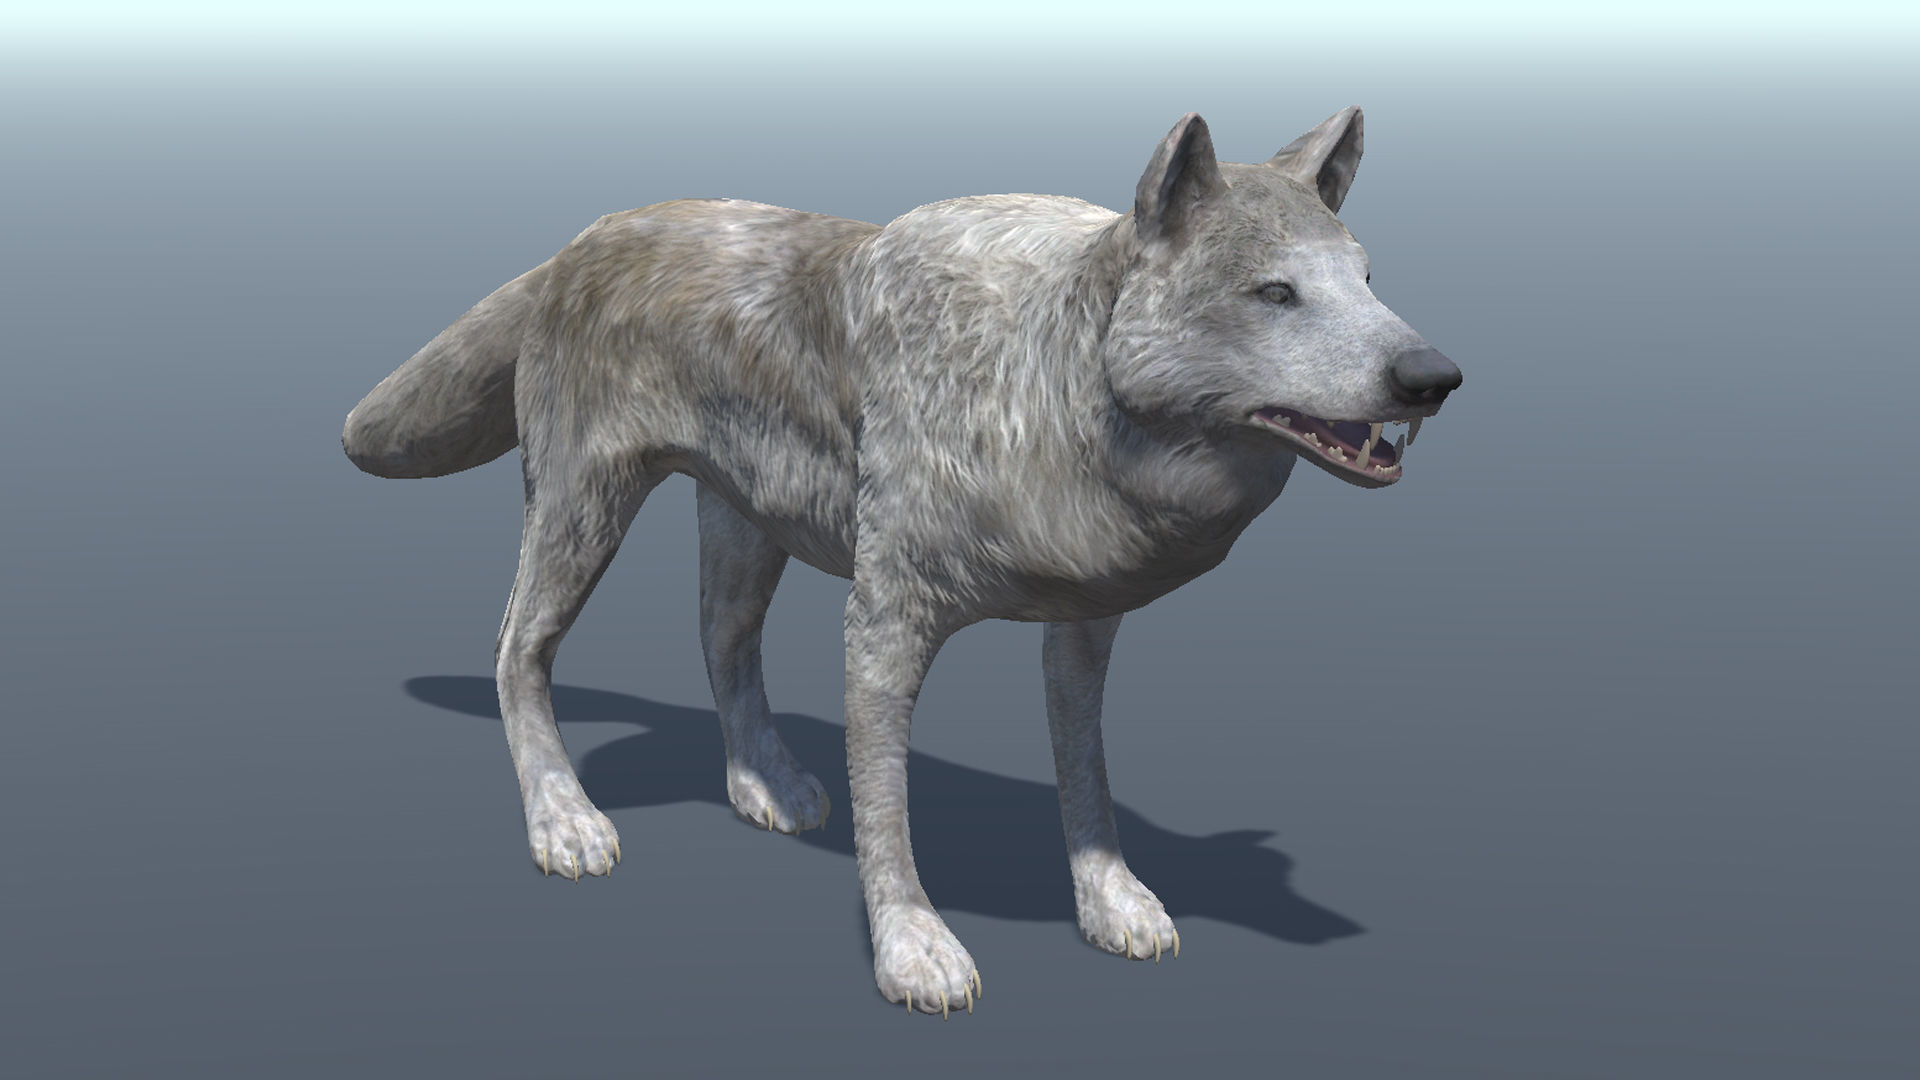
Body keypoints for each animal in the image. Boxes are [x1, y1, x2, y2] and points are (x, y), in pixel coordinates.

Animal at [343, 107, 1461, 1016]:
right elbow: (889, 807)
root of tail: (582, 239)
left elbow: (1086, 776)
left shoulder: (1084, 628)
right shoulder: (885, 622)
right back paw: (563, 821)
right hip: (584, 510)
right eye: (1276, 293)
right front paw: (912, 950)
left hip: (748, 529)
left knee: (720, 642)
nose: (1435, 376)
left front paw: (1111, 901)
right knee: (516, 649)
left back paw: (765, 783)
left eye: (1369, 283)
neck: (1046, 385)